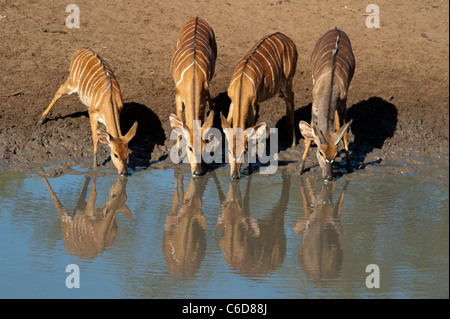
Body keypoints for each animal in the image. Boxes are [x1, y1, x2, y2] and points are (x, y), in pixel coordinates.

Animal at [37, 48, 137, 176]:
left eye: (128, 154)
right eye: (115, 155)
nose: (124, 172)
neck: (109, 98)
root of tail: (80, 49)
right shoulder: (92, 113)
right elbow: (95, 139)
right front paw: (94, 166)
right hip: (72, 84)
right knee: (59, 90)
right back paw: (41, 119)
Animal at [170, 16, 217, 178]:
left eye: (203, 146)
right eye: (189, 147)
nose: (197, 172)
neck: (193, 78)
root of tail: (197, 18)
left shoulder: (201, 102)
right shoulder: (178, 97)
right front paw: (178, 156)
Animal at [221, 32, 298, 180]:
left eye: (244, 151)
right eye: (229, 150)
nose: (235, 176)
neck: (242, 85)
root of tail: (287, 39)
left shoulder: (252, 105)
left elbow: (251, 133)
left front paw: (250, 170)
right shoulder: (232, 101)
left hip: (287, 81)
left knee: (291, 99)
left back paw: (293, 142)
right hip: (280, 88)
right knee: (288, 99)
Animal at [298, 27, 356, 181]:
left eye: (335, 155)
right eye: (320, 153)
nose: (328, 177)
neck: (331, 82)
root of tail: (336, 29)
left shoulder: (342, 104)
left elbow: (344, 133)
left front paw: (349, 166)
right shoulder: (315, 105)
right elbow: (312, 128)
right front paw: (300, 168)